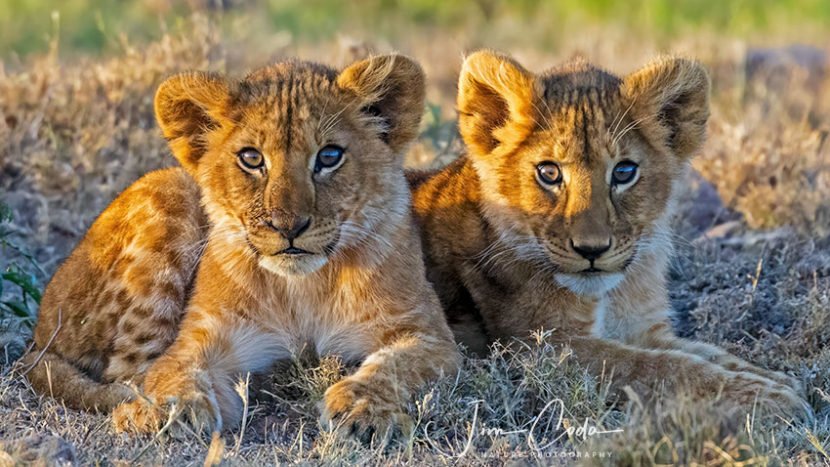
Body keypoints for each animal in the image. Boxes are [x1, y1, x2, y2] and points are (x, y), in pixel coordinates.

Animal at [21, 54, 459, 439]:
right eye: (251, 158)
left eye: (330, 156)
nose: (288, 227)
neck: (303, 289)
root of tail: (40, 327)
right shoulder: (201, 335)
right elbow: (173, 370)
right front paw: (171, 410)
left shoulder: (428, 335)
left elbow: (395, 366)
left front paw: (361, 408)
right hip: (170, 186)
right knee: (127, 372)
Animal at [407, 50, 811, 419]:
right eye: (549, 173)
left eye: (624, 172)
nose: (592, 250)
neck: (612, 294)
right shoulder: (541, 348)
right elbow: (662, 367)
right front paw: (768, 397)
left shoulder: (643, 328)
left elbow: (705, 352)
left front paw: (775, 379)